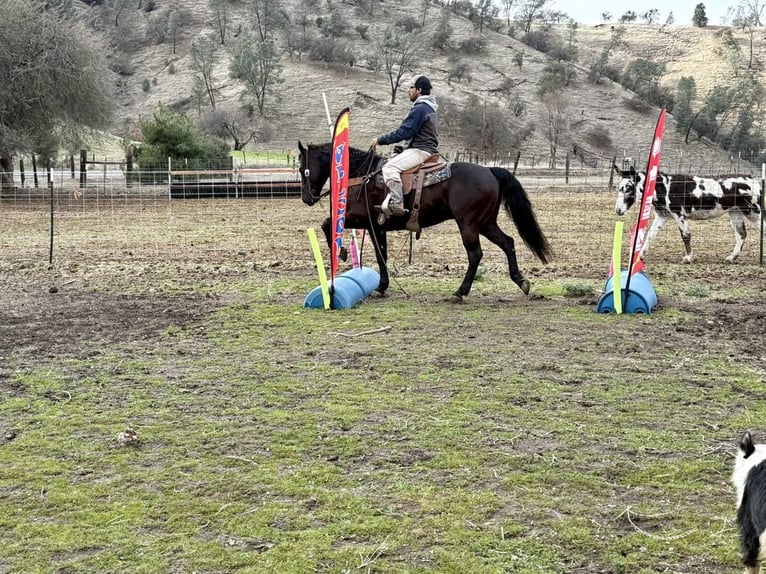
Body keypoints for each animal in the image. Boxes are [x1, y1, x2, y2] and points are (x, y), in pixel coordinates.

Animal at [296, 143, 556, 302]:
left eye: (301, 168)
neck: (362, 175)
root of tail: (490, 171)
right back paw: (521, 281)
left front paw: (340, 252)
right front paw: (382, 286)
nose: (307, 198)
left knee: (475, 255)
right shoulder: (377, 226)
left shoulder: (361, 219)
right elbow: (382, 255)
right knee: (508, 243)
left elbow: (327, 224)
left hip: (469, 225)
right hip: (486, 223)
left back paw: (460, 292)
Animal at [616, 166, 764, 266]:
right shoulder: (662, 216)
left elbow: (686, 236)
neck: (664, 187)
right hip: (736, 212)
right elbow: (650, 236)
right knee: (741, 234)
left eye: (628, 188)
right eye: (619, 188)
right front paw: (638, 256)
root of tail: (752, 179)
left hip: (753, 211)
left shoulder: (679, 214)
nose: (618, 210)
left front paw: (688, 258)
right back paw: (732, 257)